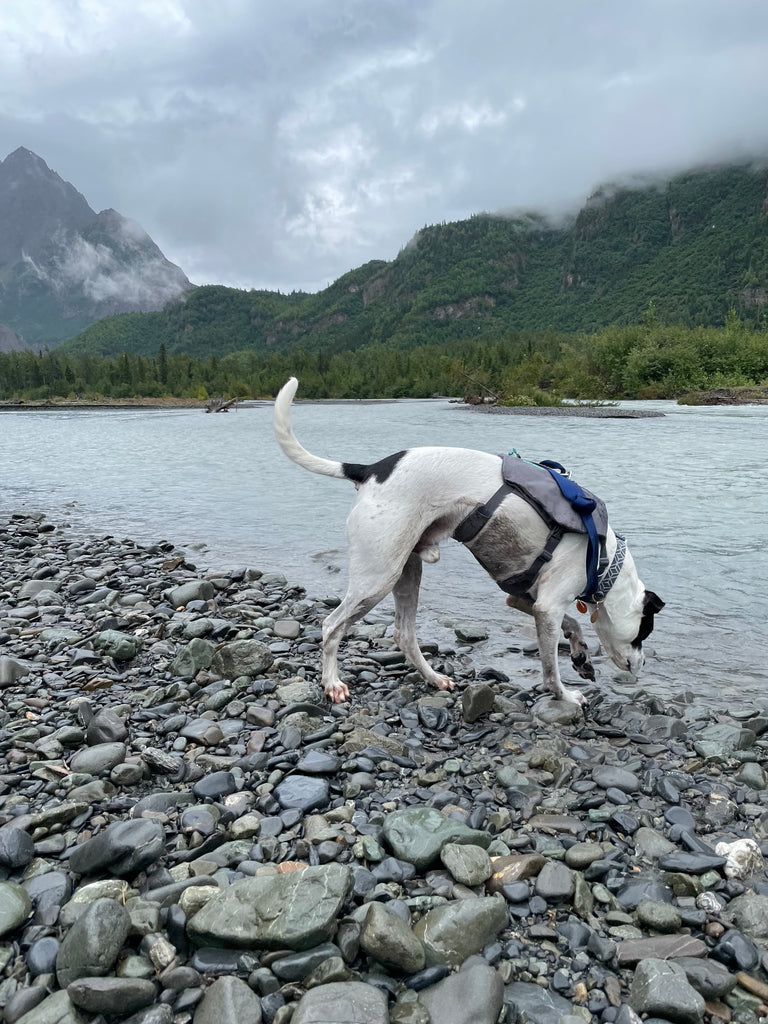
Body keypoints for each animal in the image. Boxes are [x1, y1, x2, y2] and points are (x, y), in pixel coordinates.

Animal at [274, 376, 663, 704]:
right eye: (643, 633)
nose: (642, 667)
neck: (604, 562)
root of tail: (371, 470)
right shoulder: (547, 607)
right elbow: (551, 668)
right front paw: (565, 695)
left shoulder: (526, 600)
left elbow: (574, 622)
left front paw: (581, 653)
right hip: (378, 576)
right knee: (331, 626)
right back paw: (332, 683)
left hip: (407, 570)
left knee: (403, 634)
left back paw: (433, 678)